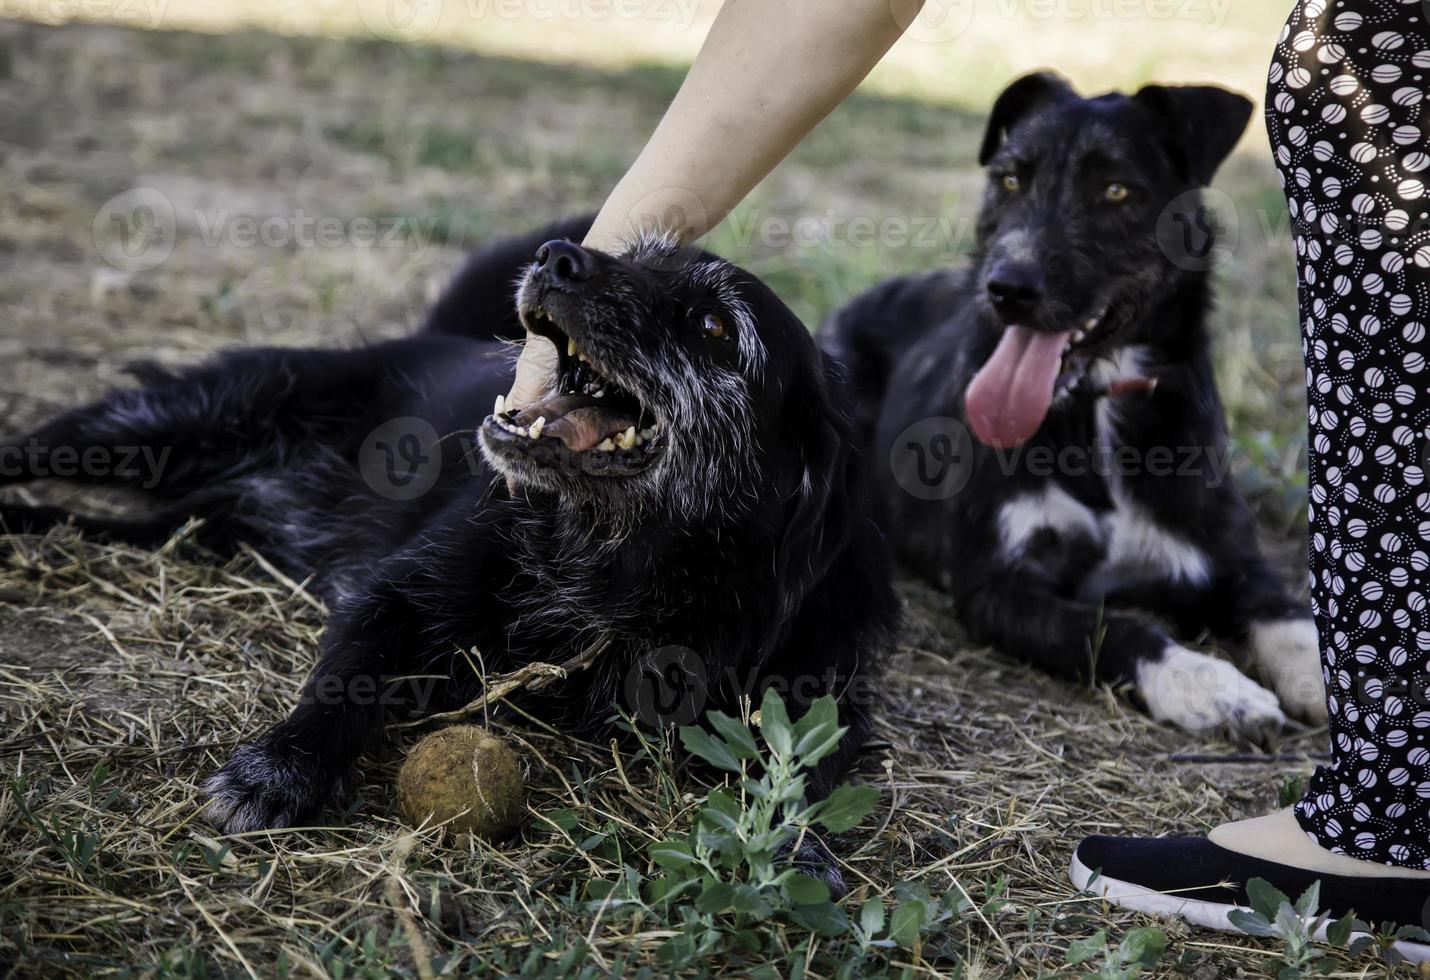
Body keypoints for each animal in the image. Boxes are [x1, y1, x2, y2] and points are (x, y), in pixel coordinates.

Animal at [0, 217, 892, 835]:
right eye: (639, 258)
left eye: (714, 326)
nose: (560, 257)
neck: (611, 562)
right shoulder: (399, 593)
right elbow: (347, 678)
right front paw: (283, 766)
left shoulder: (809, 698)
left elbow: (801, 774)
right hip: (162, 428)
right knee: (33, 448)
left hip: (187, 525)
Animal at [823, 72, 1321, 732]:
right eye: (1011, 179)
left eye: (1115, 190)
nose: (1006, 288)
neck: (1096, 410)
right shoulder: (999, 585)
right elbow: (1116, 628)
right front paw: (1210, 684)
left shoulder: (1230, 551)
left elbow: (1284, 610)